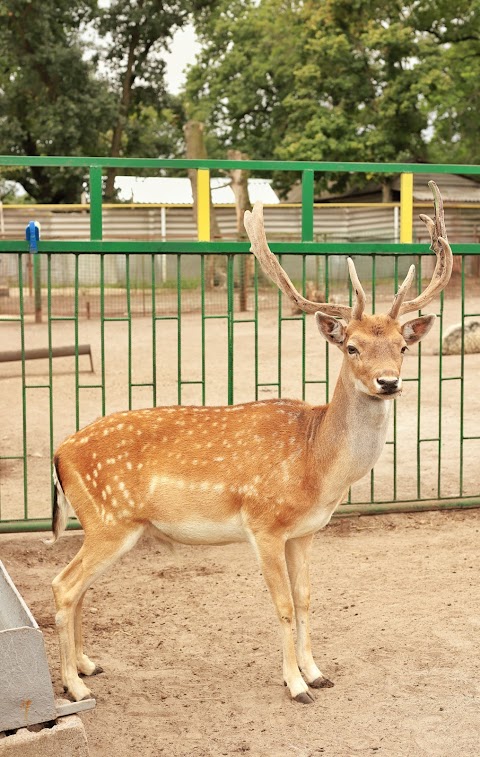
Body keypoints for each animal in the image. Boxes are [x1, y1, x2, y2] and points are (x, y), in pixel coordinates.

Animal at [50, 182, 452, 704]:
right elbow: (282, 605)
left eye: (403, 348)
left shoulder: (305, 532)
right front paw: (296, 686)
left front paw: (317, 672)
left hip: (104, 525)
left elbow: (306, 599)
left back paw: (88, 665)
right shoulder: (263, 524)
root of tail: (59, 452)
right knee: (64, 585)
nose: (388, 382)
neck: (316, 467)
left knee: (79, 588)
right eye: (352, 347)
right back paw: (75, 686)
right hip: (109, 521)